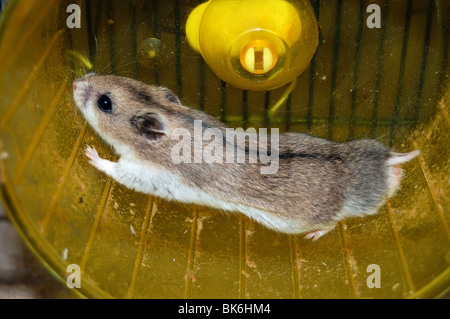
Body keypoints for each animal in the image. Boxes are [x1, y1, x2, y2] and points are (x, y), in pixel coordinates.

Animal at [72, 74, 420, 240]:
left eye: (105, 103)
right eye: (124, 79)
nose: (75, 81)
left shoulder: (143, 173)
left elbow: (115, 168)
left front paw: (90, 154)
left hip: (295, 222)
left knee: (333, 224)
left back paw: (315, 236)